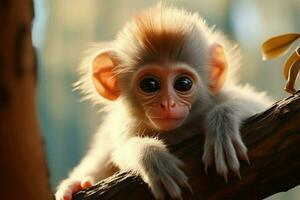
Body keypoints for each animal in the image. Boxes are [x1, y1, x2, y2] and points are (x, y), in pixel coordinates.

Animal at [54, 4, 272, 200]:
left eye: (183, 84)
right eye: (150, 85)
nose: (167, 104)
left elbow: (259, 104)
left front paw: (222, 128)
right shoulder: (125, 125)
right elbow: (120, 150)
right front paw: (152, 157)